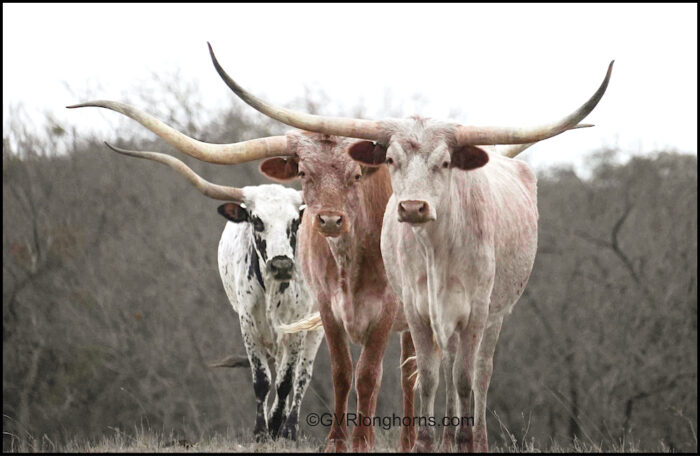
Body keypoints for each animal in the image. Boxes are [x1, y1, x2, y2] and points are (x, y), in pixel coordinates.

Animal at [206, 51, 612, 450]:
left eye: (357, 174)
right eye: (304, 173)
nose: (330, 221)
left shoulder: (429, 310)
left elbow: (388, 375)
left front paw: (370, 441)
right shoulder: (344, 308)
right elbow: (351, 373)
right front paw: (344, 442)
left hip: (492, 314)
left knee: (476, 374)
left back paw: (469, 438)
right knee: (428, 372)